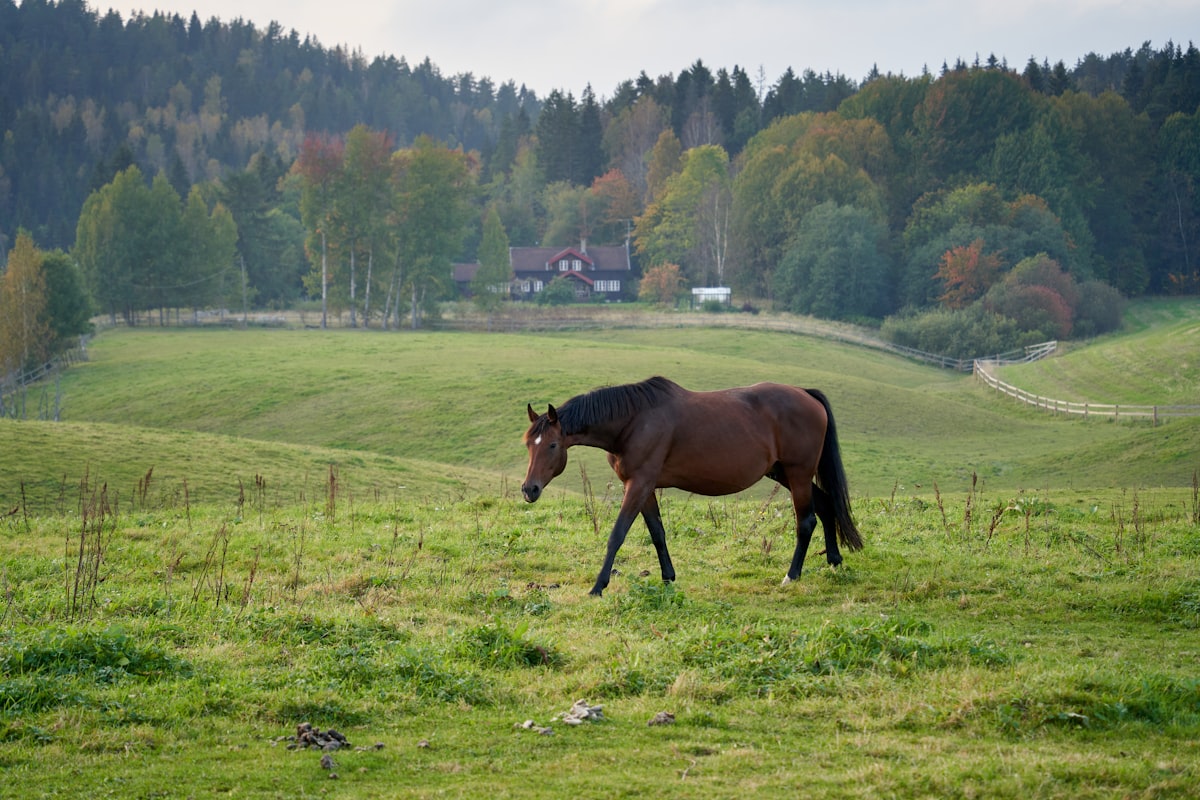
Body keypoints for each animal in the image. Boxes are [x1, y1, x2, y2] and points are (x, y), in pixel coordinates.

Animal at [521, 376, 862, 596]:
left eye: (552, 445)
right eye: (528, 444)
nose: (529, 489)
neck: (633, 421)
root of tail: (806, 394)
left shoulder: (638, 484)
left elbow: (617, 535)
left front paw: (597, 587)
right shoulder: (644, 487)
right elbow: (657, 533)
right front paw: (668, 578)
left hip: (798, 474)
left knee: (806, 521)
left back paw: (791, 577)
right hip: (783, 473)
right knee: (826, 504)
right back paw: (834, 561)